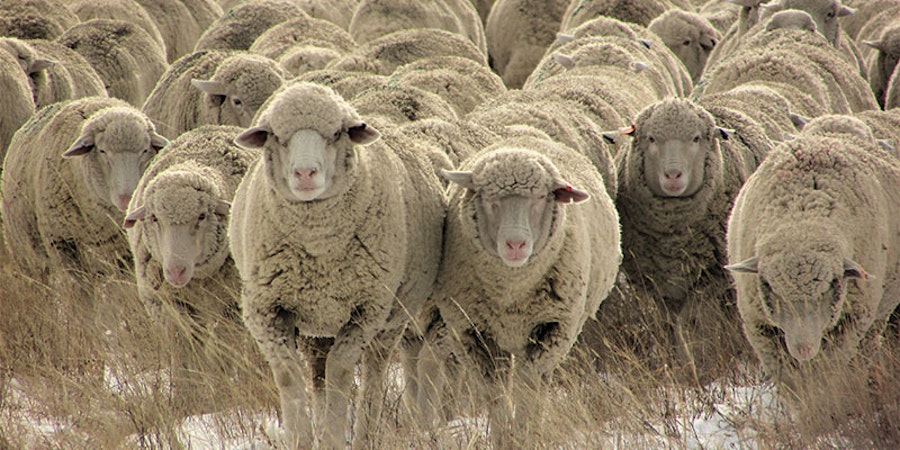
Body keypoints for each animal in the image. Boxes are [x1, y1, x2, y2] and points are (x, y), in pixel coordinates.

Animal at [228, 81, 445, 449]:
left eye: (335, 134)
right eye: (277, 136)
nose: (305, 173)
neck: (317, 246)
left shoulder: (367, 309)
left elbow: (340, 373)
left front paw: (332, 435)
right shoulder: (266, 310)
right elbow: (289, 376)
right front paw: (302, 438)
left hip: (392, 315)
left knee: (373, 370)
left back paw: (366, 435)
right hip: (316, 324)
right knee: (317, 373)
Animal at [410, 136, 620, 448]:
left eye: (541, 198)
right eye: (489, 199)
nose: (515, 244)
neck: (511, 289)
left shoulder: (550, 329)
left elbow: (526, 389)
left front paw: (523, 433)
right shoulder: (475, 333)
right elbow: (496, 394)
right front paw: (503, 436)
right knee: (431, 361)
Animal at [725, 121, 900, 394]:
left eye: (828, 286)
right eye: (771, 288)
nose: (804, 350)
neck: (801, 220)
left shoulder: (851, 321)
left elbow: (827, 373)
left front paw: (825, 400)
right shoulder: (758, 325)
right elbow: (788, 379)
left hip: (877, 313)